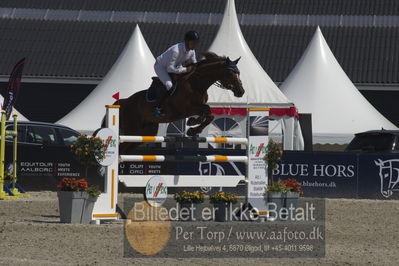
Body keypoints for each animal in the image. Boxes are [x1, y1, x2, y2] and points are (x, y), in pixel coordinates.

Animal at [111, 51, 245, 154]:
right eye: (230, 73)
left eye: (238, 73)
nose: (241, 92)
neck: (196, 84)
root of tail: (124, 102)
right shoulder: (186, 108)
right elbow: (208, 111)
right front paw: (193, 129)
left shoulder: (196, 107)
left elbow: (208, 113)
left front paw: (193, 123)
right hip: (132, 129)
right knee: (121, 149)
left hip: (144, 133)